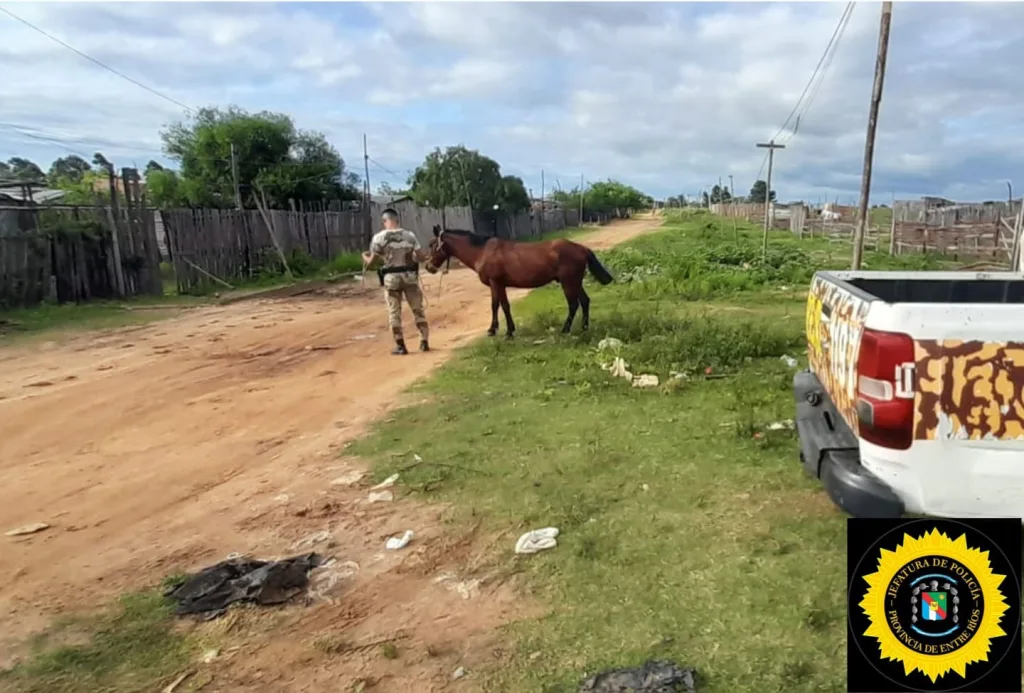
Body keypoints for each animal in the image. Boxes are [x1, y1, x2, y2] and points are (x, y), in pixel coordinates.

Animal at [423, 224, 614, 339]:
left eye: (432, 245)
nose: (428, 267)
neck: (482, 251)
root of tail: (581, 248)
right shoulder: (496, 285)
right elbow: (497, 305)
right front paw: (496, 329)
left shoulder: (497, 283)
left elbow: (501, 306)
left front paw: (506, 331)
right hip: (575, 282)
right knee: (585, 301)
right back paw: (584, 327)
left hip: (568, 283)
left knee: (574, 304)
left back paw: (565, 329)